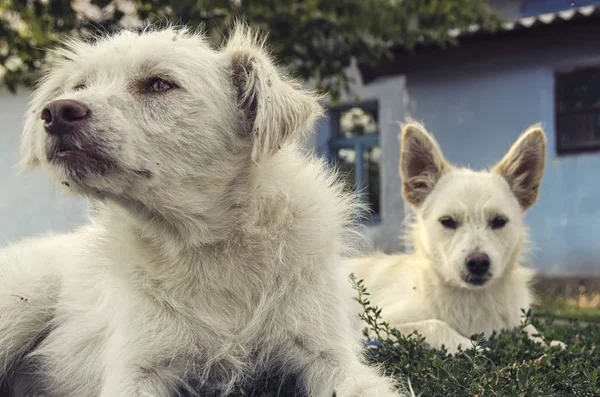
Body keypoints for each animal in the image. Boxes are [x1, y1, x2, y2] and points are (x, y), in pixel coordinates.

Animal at [0, 25, 410, 396]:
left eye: (159, 85)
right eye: (79, 87)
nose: (55, 112)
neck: (209, 246)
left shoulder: (330, 355)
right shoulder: (138, 368)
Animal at [344, 121, 564, 352]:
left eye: (499, 221)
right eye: (448, 221)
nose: (478, 263)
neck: (471, 300)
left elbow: (529, 328)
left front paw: (546, 342)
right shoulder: (375, 326)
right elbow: (435, 325)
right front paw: (470, 346)